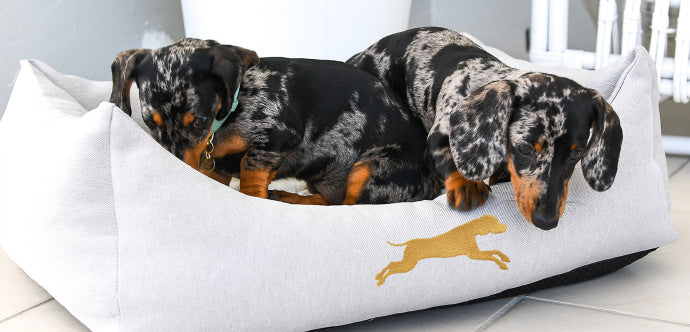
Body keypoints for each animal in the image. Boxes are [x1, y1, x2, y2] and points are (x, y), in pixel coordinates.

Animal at [107, 38, 440, 205]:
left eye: (199, 121)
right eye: (150, 122)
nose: (176, 176)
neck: (228, 117)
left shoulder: (279, 135)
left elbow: (249, 168)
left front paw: (255, 197)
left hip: (368, 168)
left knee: (349, 206)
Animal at [346, 27, 620, 230]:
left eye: (576, 154)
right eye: (525, 148)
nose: (547, 221)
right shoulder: (438, 136)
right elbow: (447, 156)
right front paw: (466, 185)